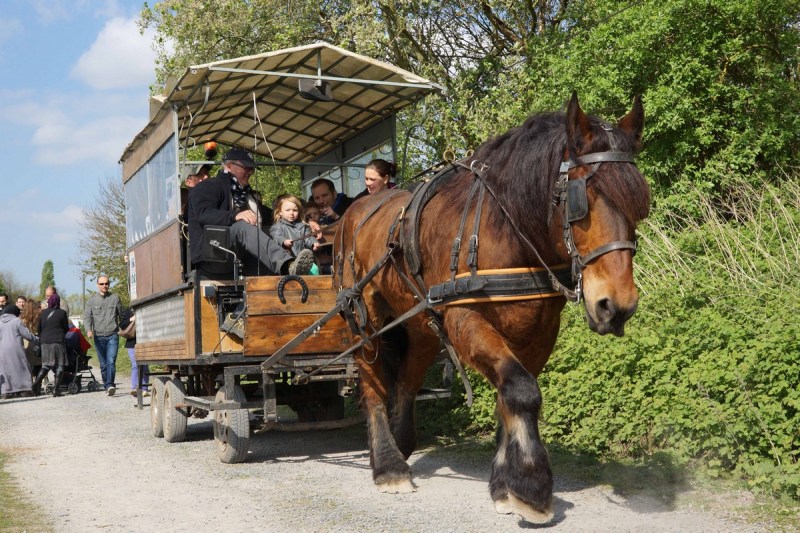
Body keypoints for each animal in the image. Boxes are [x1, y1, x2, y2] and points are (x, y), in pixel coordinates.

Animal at [332, 93, 648, 520]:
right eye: (582, 200)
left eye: (639, 202)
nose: (618, 305)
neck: (506, 229)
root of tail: (355, 211)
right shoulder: (465, 319)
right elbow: (522, 390)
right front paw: (531, 486)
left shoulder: (539, 332)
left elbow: (509, 395)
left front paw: (504, 485)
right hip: (364, 320)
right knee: (373, 385)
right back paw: (389, 465)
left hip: (420, 324)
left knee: (408, 381)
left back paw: (402, 443)